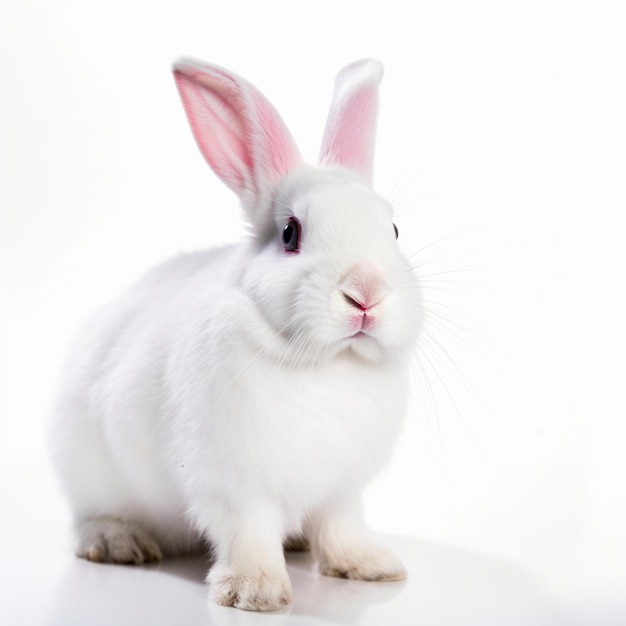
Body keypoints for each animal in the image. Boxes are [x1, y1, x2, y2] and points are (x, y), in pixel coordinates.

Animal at [48, 56, 420, 608]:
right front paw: (254, 592)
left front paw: (371, 567)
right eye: (290, 233)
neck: (327, 364)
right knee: (89, 519)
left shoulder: (342, 490)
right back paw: (120, 543)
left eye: (393, 231)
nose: (366, 291)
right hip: (88, 469)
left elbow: (341, 527)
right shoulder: (234, 485)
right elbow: (249, 532)